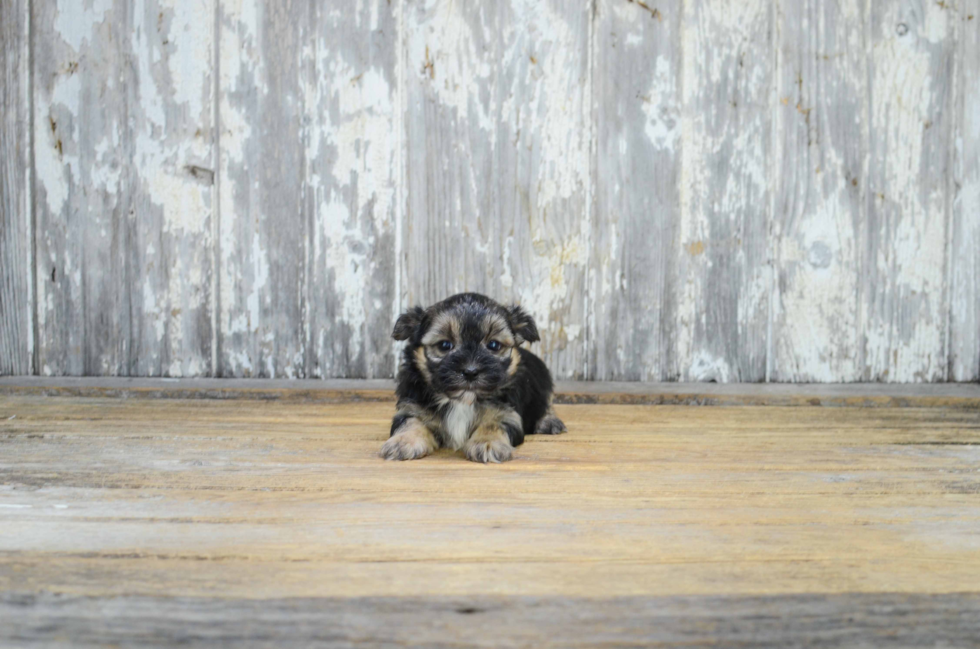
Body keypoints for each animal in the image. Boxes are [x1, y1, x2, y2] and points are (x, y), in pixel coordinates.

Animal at [382, 292, 568, 464]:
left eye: (494, 345)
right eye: (444, 345)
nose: (470, 371)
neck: (463, 401)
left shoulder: (507, 414)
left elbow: (493, 424)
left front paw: (487, 443)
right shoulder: (412, 405)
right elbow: (411, 421)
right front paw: (403, 441)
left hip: (544, 382)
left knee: (546, 404)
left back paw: (549, 421)